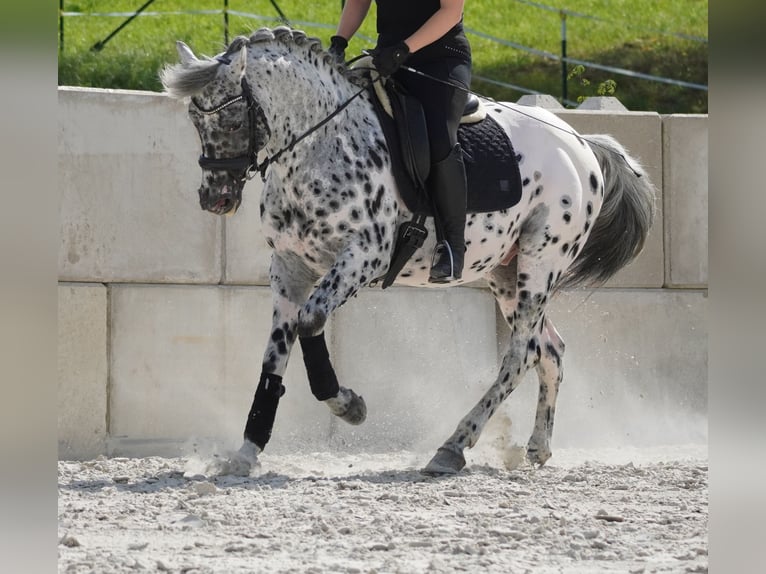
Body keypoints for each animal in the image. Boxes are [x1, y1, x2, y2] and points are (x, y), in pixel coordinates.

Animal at [160, 27, 656, 476]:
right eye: (194, 121)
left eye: (230, 120)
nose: (215, 198)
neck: (320, 147)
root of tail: (581, 143)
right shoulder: (289, 267)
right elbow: (274, 354)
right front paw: (246, 451)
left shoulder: (364, 256)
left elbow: (311, 321)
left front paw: (348, 406)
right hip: (505, 270)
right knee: (549, 349)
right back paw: (537, 446)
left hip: (542, 260)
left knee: (520, 353)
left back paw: (453, 446)